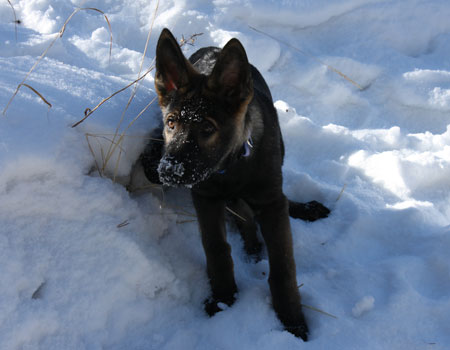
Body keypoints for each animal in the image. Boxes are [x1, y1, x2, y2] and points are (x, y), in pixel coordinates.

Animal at [149, 28, 328, 340]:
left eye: (208, 128)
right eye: (171, 122)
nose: (169, 171)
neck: (229, 168)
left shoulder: (271, 203)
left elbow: (283, 267)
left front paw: (292, 320)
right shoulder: (205, 198)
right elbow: (216, 249)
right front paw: (223, 298)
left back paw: (305, 209)